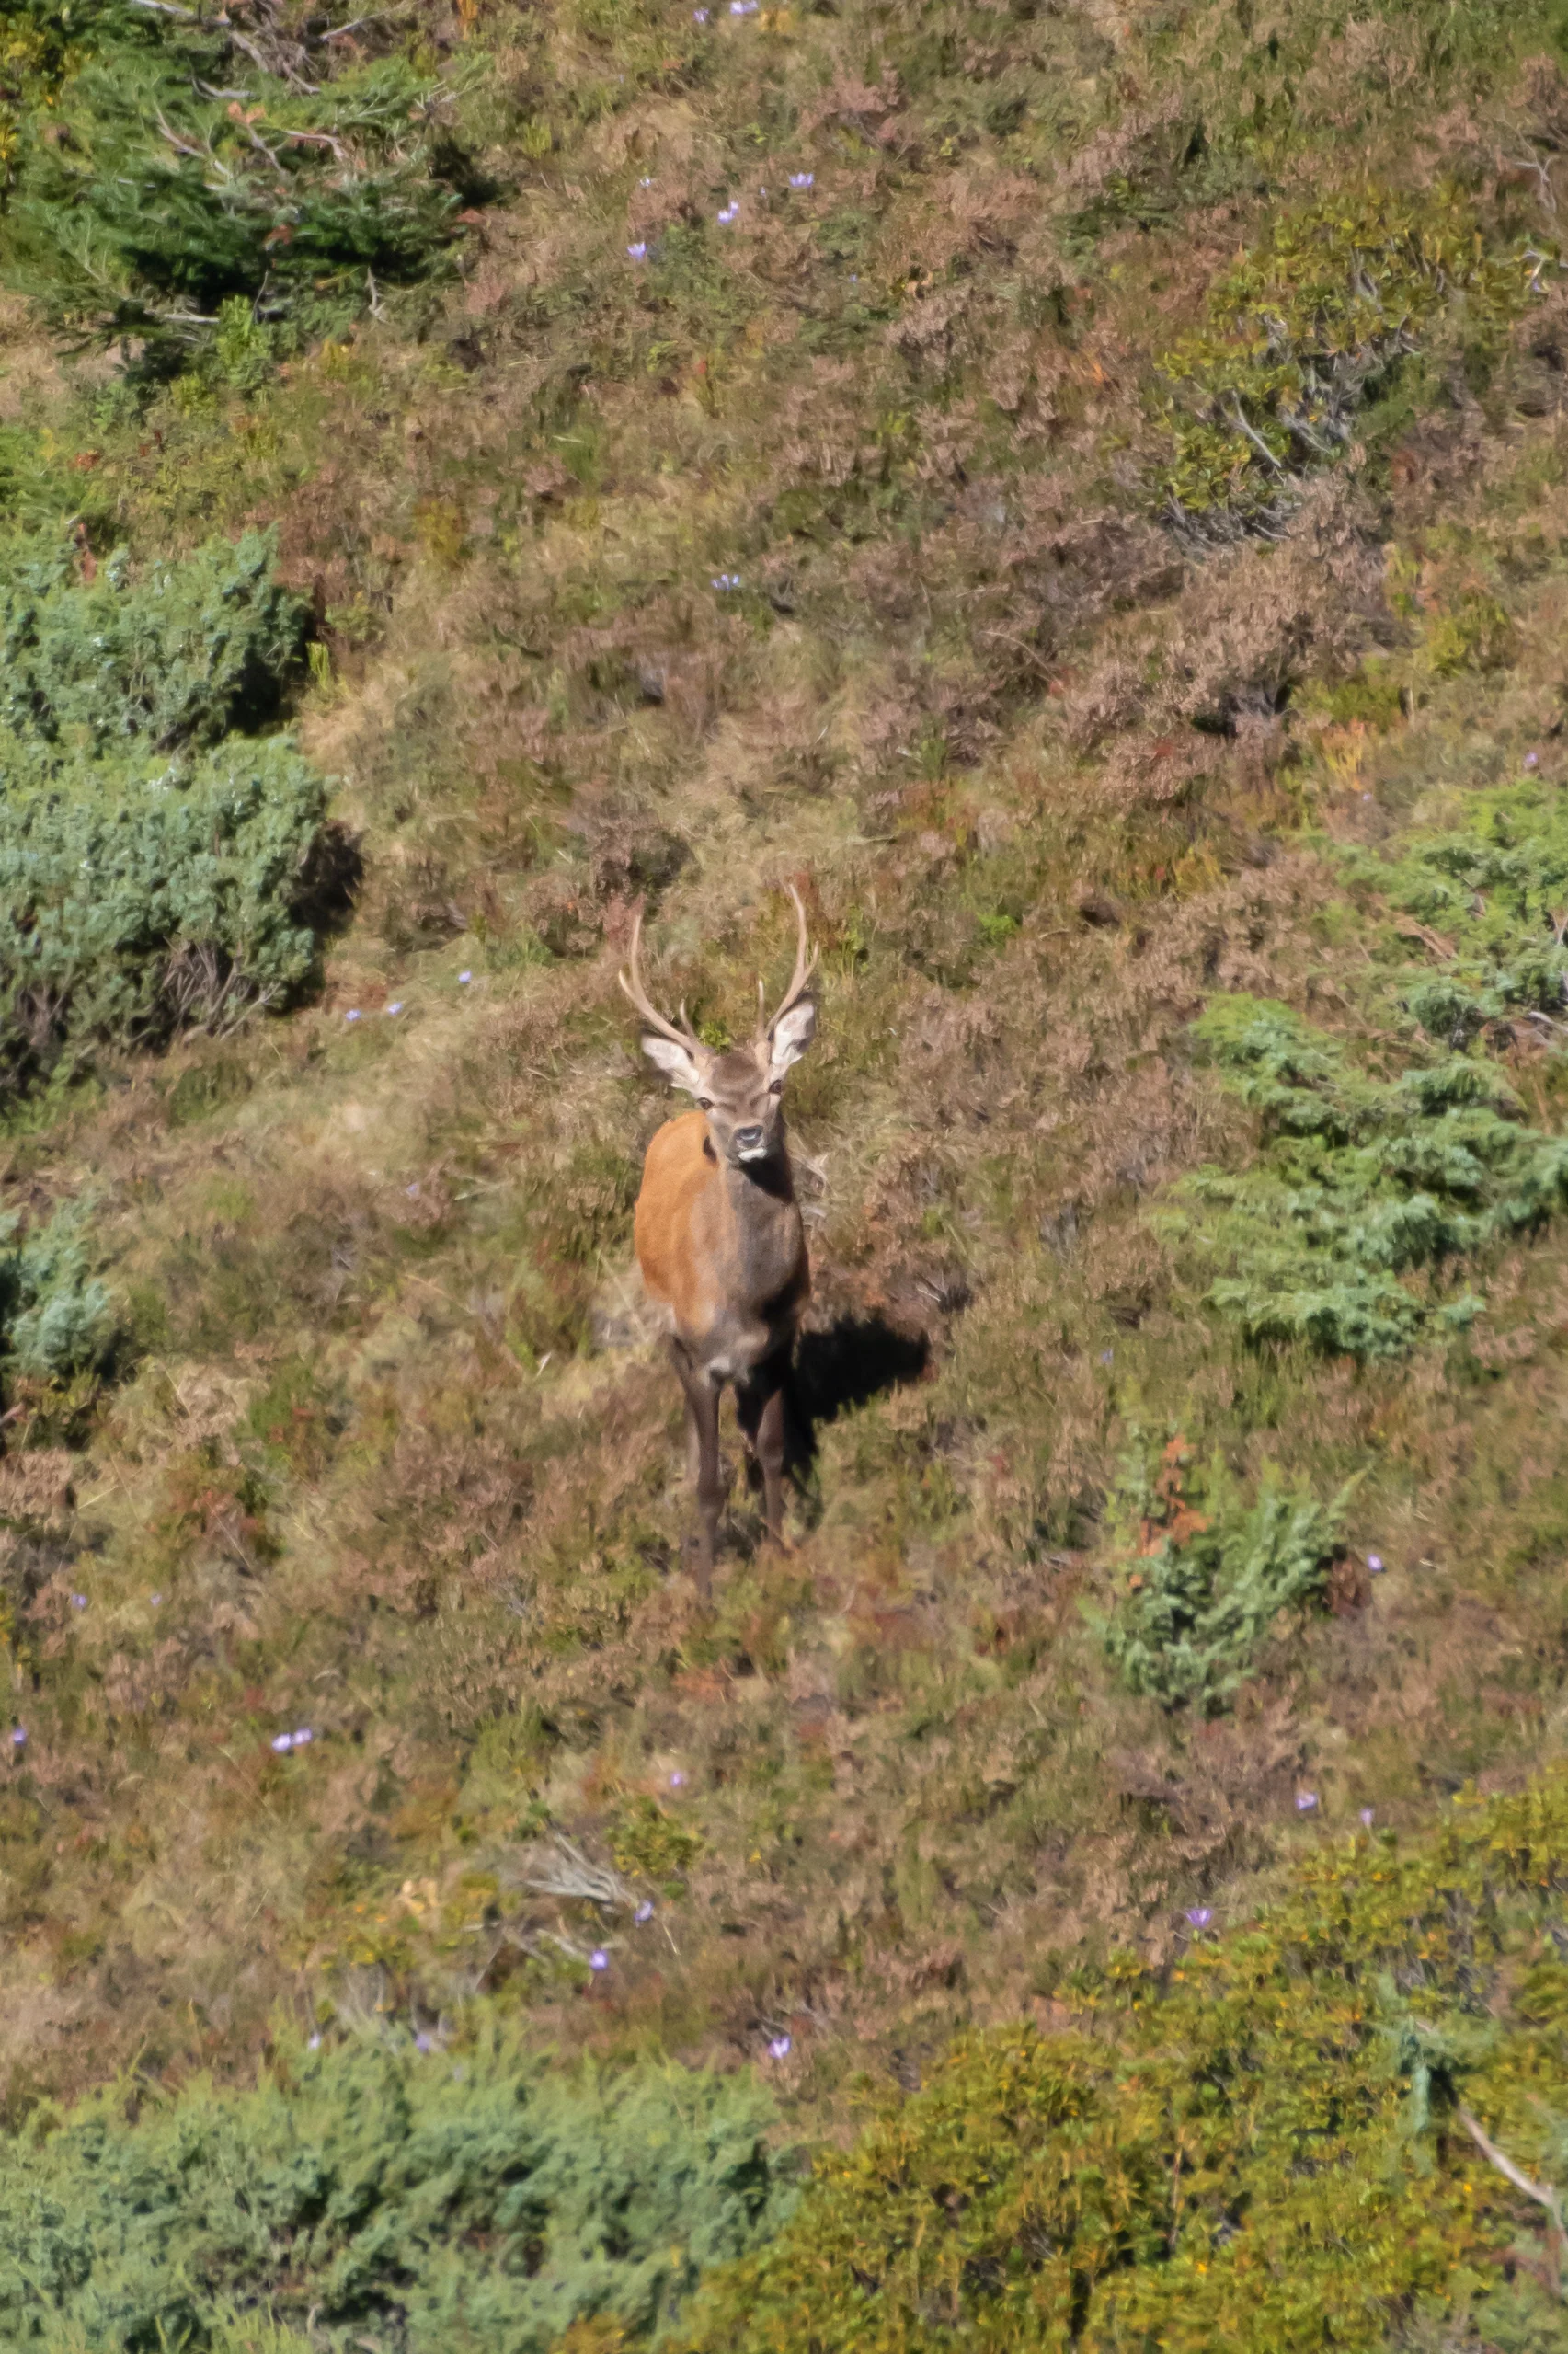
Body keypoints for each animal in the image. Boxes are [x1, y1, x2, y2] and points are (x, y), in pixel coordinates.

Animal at [620, 886, 818, 1596]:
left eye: (776, 1084)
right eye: (709, 1098)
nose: (748, 1135)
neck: (747, 1299)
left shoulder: (778, 1346)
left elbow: (772, 1451)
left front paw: (782, 1551)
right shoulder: (702, 1359)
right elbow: (709, 1483)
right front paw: (707, 1595)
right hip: (667, 1336)